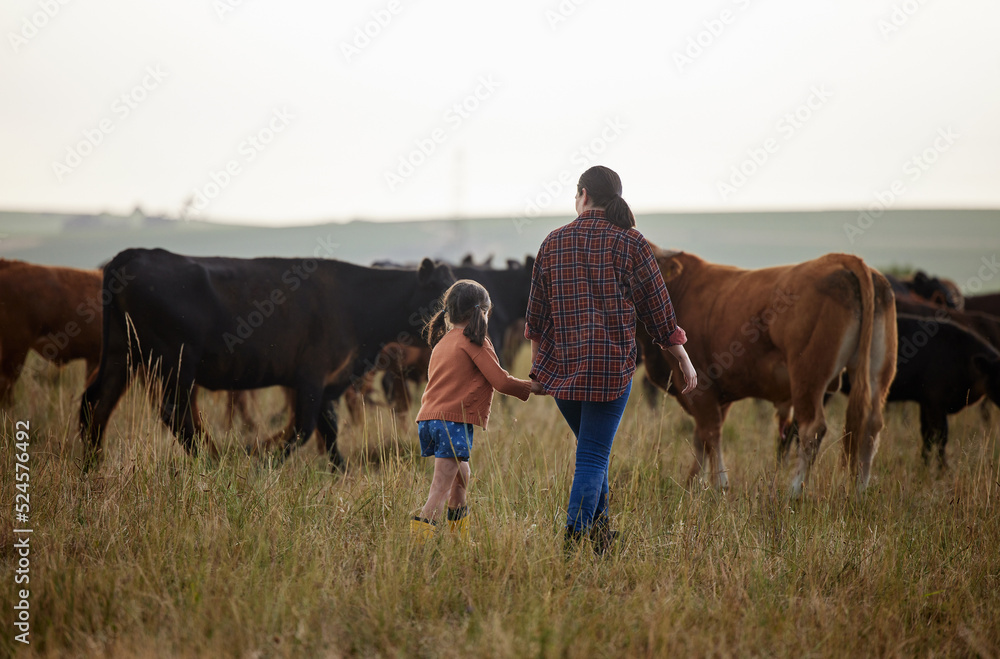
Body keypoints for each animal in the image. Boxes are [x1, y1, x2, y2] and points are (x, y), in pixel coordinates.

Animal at [80, 249, 456, 470]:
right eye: (442, 291)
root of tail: (138, 254)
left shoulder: (330, 381)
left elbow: (328, 428)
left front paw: (340, 471)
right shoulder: (311, 376)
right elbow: (303, 428)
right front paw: (259, 454)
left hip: (121, 355)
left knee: (96, 402)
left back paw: (93, 465)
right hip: (175, 362)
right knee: (175, 413)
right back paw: (214, 458)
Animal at [640, 250, 900, 498]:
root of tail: (844, 260)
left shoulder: (702, 388)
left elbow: (710, 435)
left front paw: (717, 485)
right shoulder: (720, 395)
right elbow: (702, 438)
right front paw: (694, 483)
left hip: (807, 377)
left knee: (812, 429)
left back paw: (794, 492)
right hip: (877, 374)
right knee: (871, 427)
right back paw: (859, 492)